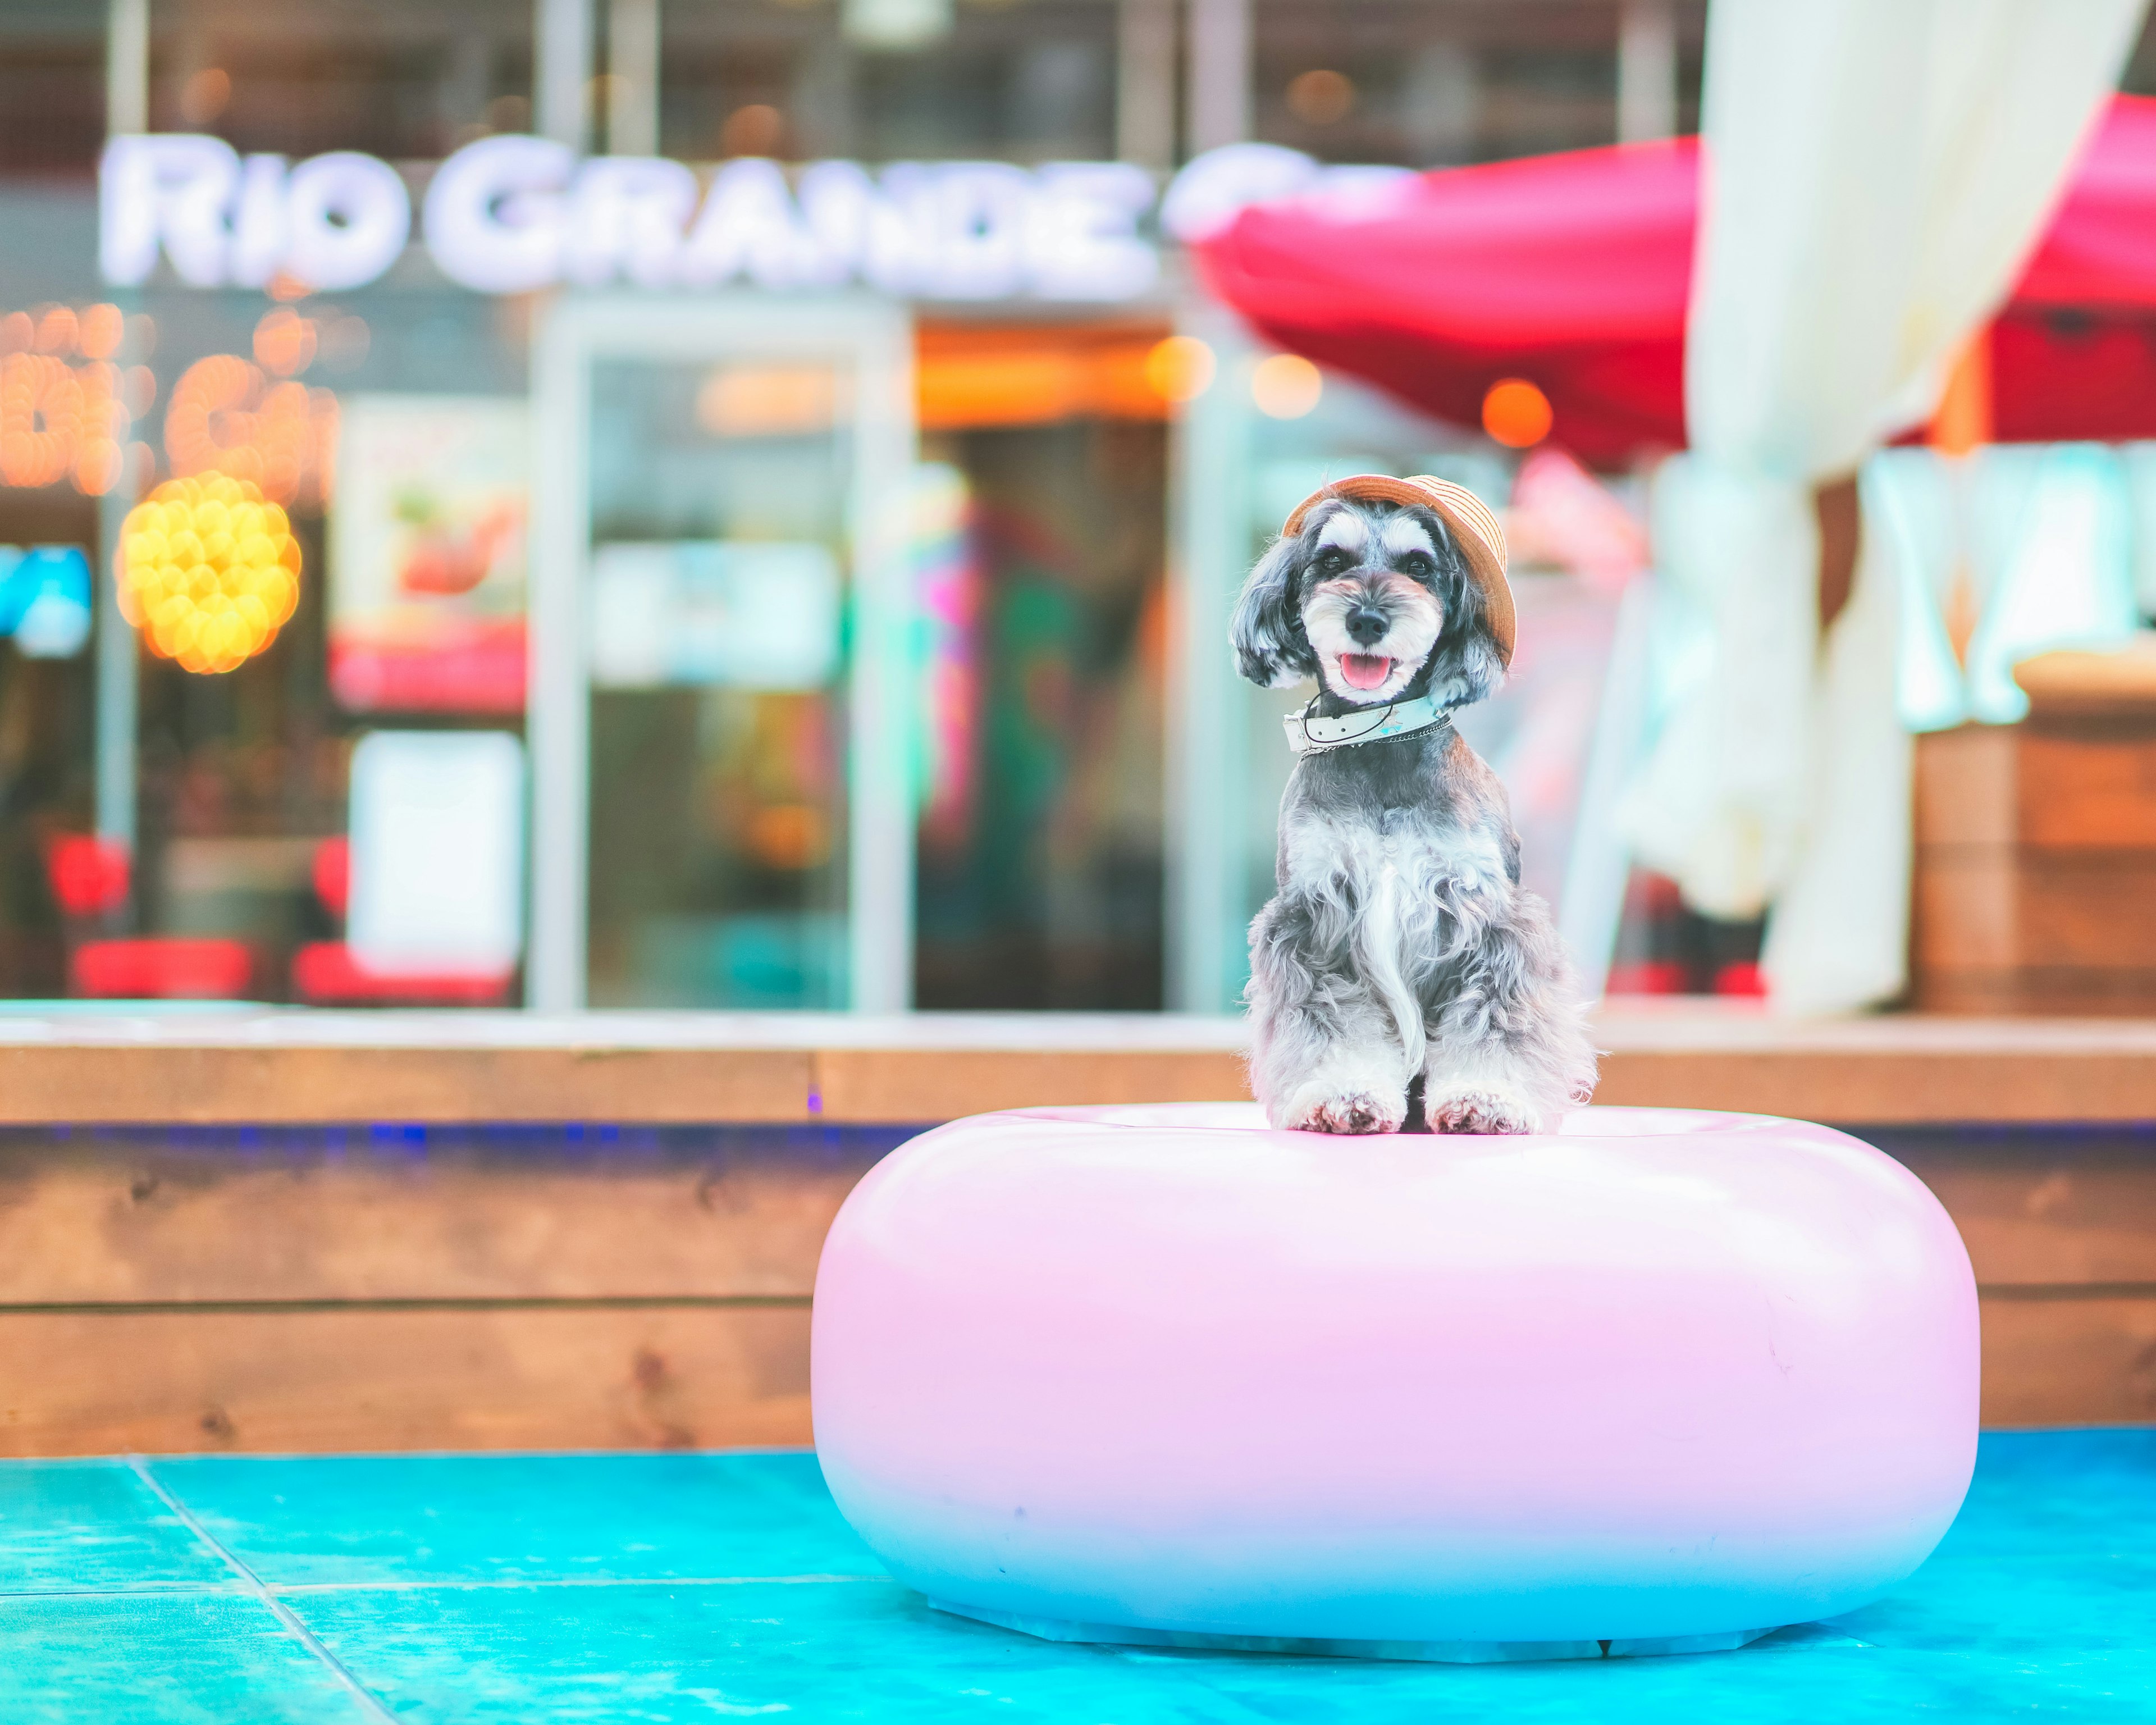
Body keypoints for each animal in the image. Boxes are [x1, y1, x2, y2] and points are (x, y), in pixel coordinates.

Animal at [1233, 478, 1604, 1138]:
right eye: (1333, 560)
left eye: (1419, 567)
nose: (1368, 618)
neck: (1380, 740)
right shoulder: (1311, 921)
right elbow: (1328, 1021)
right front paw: (1340, 1092)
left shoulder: (1490, 919)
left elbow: (1495, 1019)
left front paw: (1489, 1097)